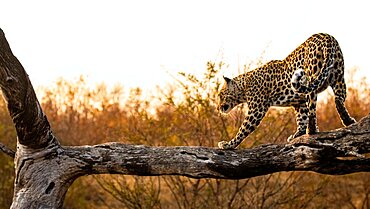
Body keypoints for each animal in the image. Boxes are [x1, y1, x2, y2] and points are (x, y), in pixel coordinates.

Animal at [217, 32, 356, 149]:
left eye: (220, 95)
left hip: (311, 77)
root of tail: (327, 37)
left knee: (313, 108)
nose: (218, 108)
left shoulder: (257, 109)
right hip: (338, 76)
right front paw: (297, 134)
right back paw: (348, 121)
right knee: (338, 99)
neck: (244, 87)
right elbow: (301, 118)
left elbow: (243, 129)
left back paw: (312, 130)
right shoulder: (299, 103)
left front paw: (228, 144)